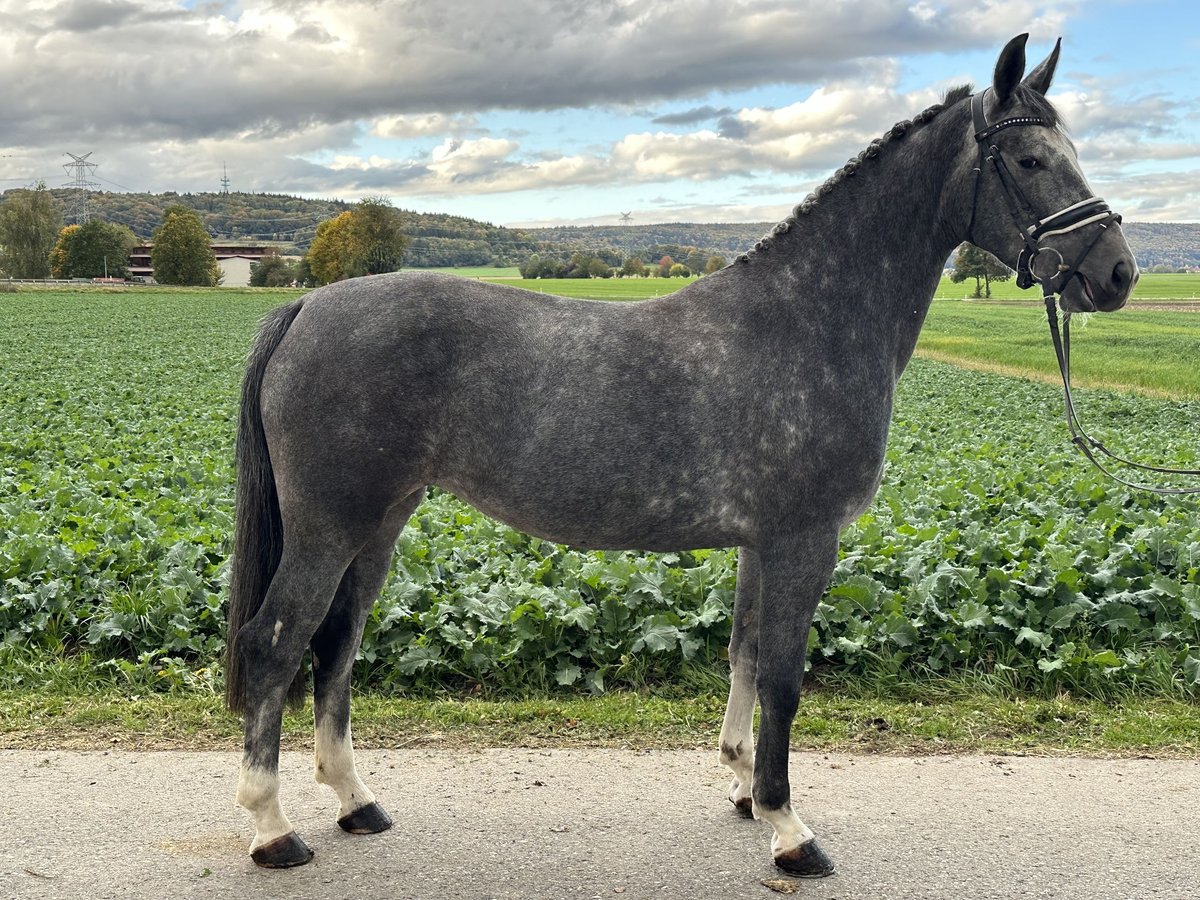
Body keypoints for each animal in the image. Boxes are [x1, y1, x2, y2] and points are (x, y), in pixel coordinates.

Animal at [225, 35, 1132, 883]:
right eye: (1030, 159)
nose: (1117, 273)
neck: (809, 318)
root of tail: (306, 305)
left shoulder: (762, 545)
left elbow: (744, 655)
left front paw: (743, 787)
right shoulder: (805, 540)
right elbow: (784, 677)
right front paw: (791, 829)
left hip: (378, 524)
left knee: (335, 643)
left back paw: (356, 802)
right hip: (329, 527)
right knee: (275, 642)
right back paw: (274, 829)